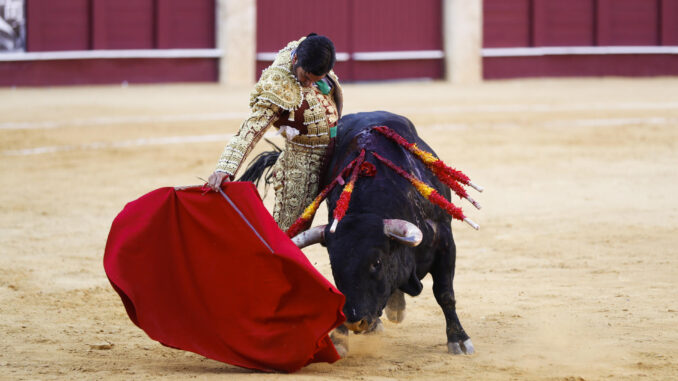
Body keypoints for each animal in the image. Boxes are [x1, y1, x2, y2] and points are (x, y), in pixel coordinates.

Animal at [242, 110, 476, 356]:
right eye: (334, 266)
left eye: (376, 263)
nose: (355, 322)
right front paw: (339, 338)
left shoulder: (445, 241)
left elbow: (444, 293)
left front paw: (459, 340)